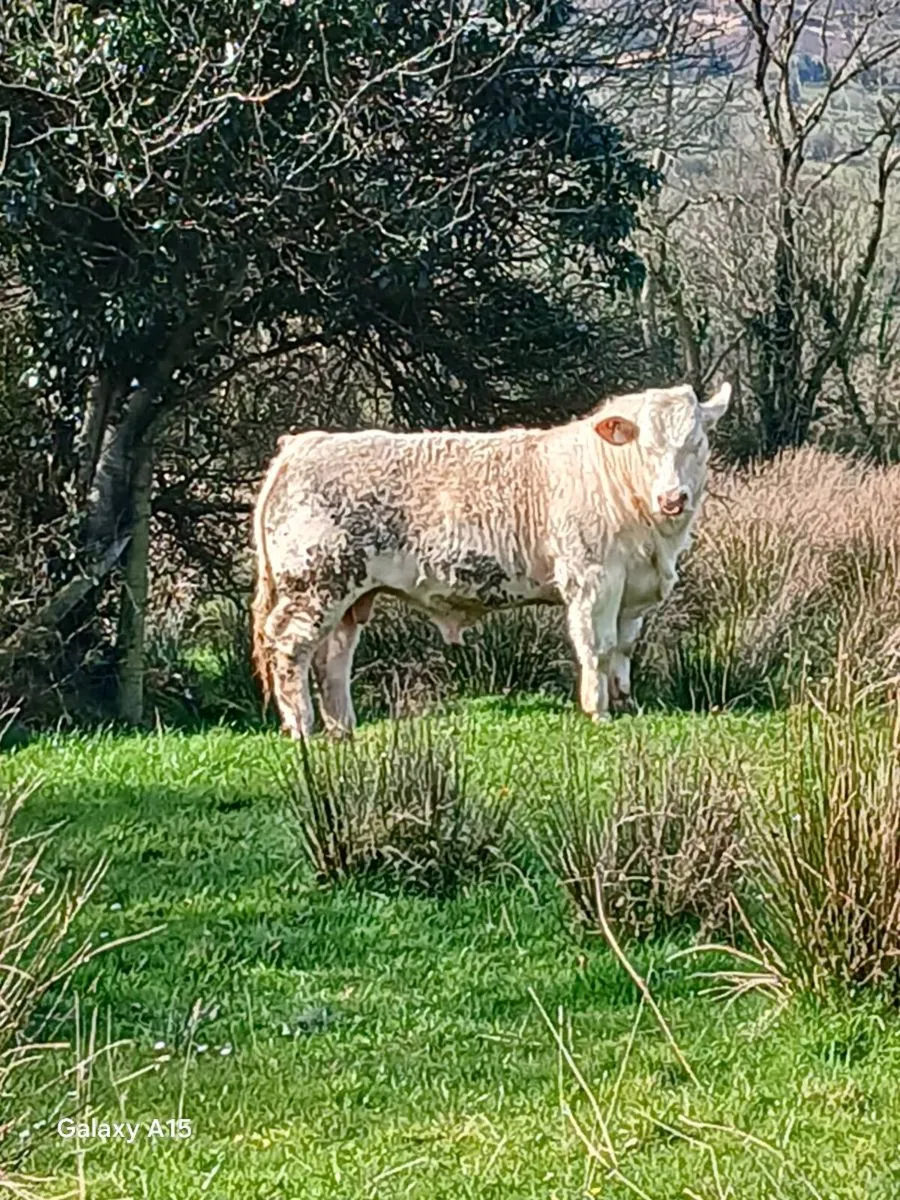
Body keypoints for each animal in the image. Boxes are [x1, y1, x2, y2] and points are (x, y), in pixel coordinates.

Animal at [251, 381, 731, 738]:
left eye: (696, 443)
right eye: (646, 446)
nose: (673, 498)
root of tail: (304, 444)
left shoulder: (632, 589)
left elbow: (624, 648)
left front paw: (625, 702)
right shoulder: (592, 578)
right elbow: (597, 646)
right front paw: (598, 710)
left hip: (349, 596)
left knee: (333, 656)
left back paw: (342, 729)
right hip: (315, 585)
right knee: (289, 647)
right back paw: (301, 726)